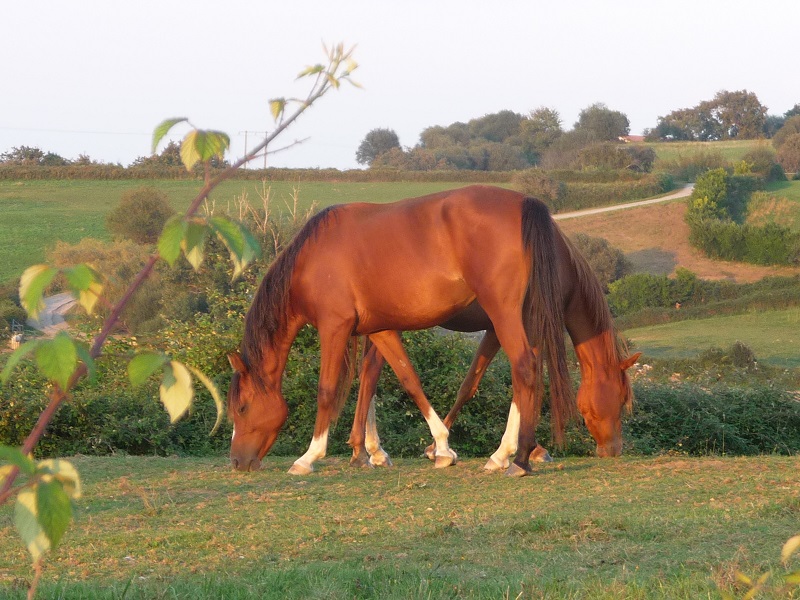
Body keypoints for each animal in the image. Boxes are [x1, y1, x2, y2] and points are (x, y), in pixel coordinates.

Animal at [228, 185, 572, 476]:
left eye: (242, 407)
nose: (237, 462)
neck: (311, 259)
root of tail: (525, 203)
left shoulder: (333, 327)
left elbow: (327, 390)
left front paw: (309, 456)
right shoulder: (381, 330)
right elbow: (405, 380)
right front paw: (439, 448)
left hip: (503, 315)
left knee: (524, 368)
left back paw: (520, 458)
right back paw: (508, 453)